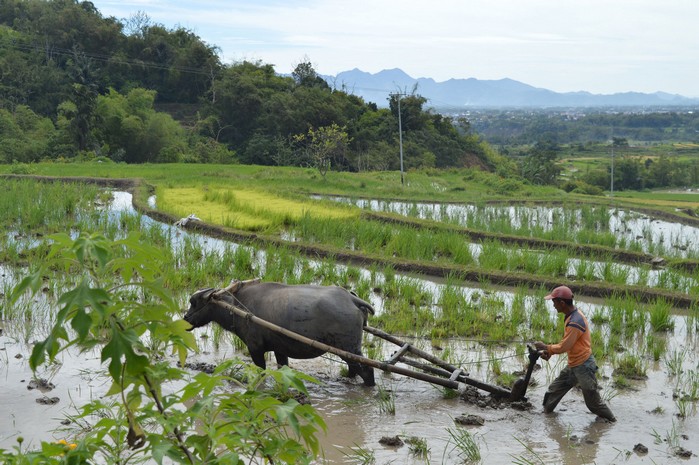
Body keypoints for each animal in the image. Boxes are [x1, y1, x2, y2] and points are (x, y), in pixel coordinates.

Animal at [183, 280, 374, 384]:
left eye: (194, 302)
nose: (185, 319)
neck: (236, 306)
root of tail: (352, 299)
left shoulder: (255, 349)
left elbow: (261, 370)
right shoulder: (280, 350)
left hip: (349, 348)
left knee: (366, 370)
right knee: (353, 369)